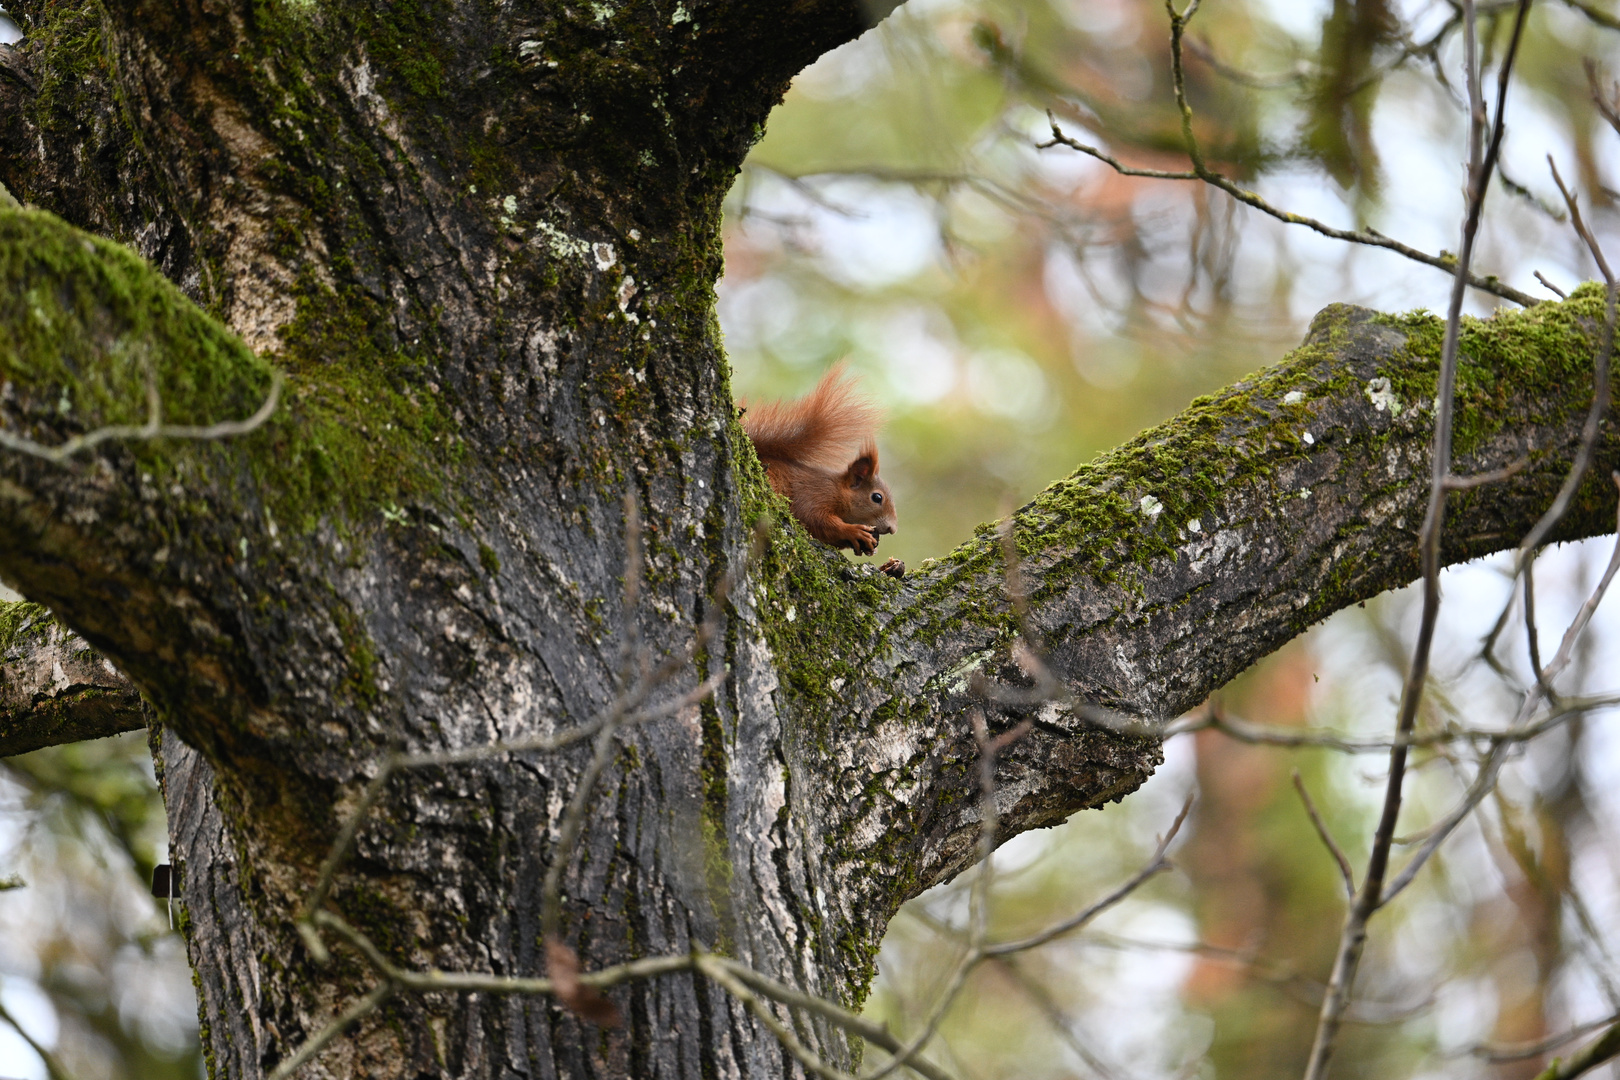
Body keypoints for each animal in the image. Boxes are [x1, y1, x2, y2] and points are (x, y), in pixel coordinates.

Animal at [741, 367, 907, 579]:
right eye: (877, 497)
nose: (892, 529)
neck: (837, 489)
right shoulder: (815, 494)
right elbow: (816, 519)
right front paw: (854, 532)